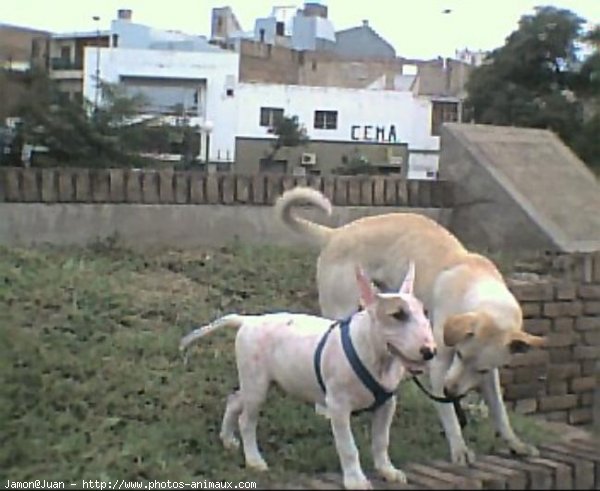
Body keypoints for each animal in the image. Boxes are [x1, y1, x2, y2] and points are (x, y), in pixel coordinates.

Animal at [274, 186, 548, 468]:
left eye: (481, 369)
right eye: (460, 355)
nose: (450, 392)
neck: (476, 288)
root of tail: (336, 234)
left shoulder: (488, 374)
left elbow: (500, 411)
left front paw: (515, 443)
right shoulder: (439, 365)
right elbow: (449, 415)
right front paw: (459, 448)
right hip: (341, 311)